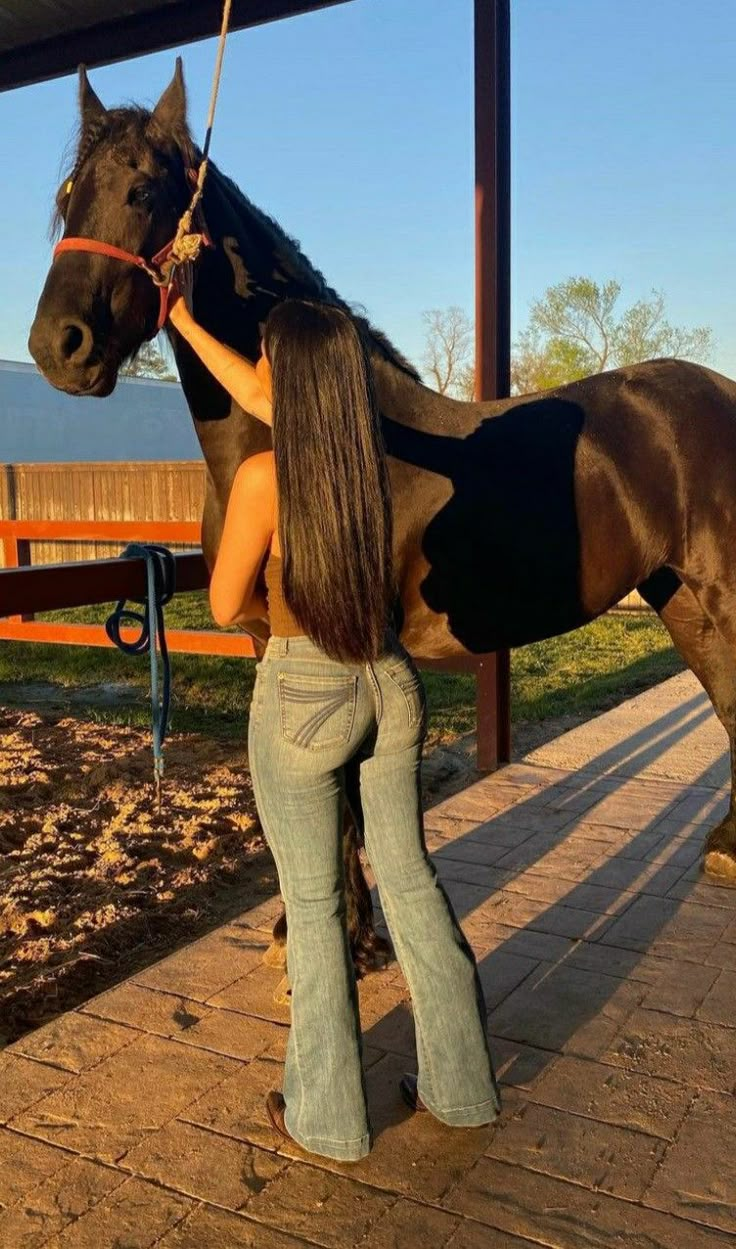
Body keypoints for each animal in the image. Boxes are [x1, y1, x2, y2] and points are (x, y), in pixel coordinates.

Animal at [31, 63, 734, 969]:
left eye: (144, 189)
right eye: (67, 194)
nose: (58, 346)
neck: (298, 423)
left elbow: (346, 801)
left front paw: (350, 942)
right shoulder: (272, 641)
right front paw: (320, 932)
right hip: (680, 597)